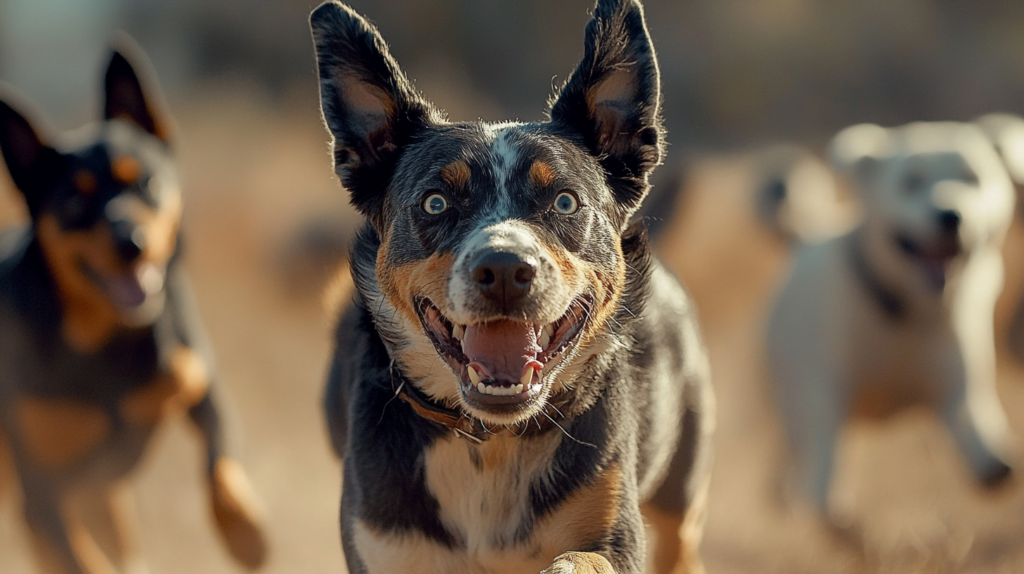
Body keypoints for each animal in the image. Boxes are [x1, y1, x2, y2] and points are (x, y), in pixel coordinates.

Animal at [0, 38, 268, 568]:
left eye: (145, 182)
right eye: (74, 203)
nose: (131, 242)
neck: (106, 338)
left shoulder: (199, 383)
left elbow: (220, 459)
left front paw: (245, 533)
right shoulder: (41, 497)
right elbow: (79, 560)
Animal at [309, 1, 712, 572]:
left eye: (565, 201)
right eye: (435, 202)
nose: (503, 268)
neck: (491, 442)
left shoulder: (613, 527)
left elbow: (583, 557)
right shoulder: (384, 539)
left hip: (683, 478)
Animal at [770, 119, 1015, 527]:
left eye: (972, 178)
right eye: (910, 181)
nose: (950, 215)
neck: (905, 315)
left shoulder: (957, 379)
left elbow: (972, 422)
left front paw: (992, 459)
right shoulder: (821, 387)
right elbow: (822, 450)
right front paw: (825, 502)